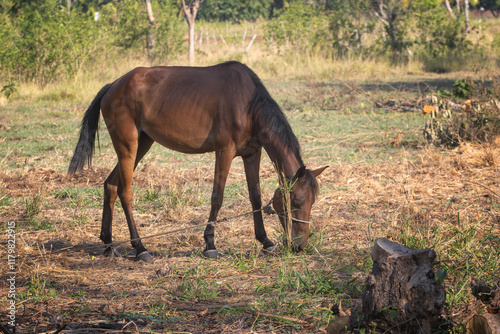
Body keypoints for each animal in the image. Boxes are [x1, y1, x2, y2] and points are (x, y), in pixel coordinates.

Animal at [69, 62, 328, 260]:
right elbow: (217, 197)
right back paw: (140, 247)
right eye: (296, 201)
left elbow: (254, 196)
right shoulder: (224, 151)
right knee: (125, 192)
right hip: (128, 147)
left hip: (142, 144)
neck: (248, 104)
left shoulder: (252, 154)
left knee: (110, 185)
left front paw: (265, 241)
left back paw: (109, 244)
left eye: (312, 202)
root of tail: (113, 85)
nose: (299, 245)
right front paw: (210, 244)